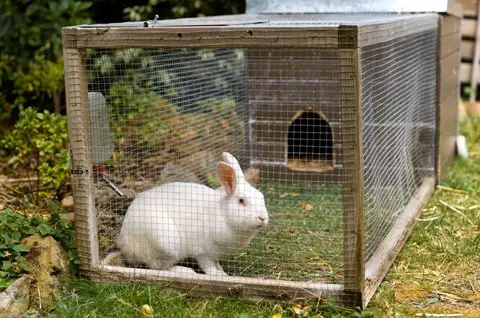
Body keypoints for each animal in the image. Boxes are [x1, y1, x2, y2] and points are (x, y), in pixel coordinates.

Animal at [115, 152, 268, 276]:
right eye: (241, 201)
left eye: (262, 197)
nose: (263, 218)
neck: (224, 215)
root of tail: (124, 243)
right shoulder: (203, 251)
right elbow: (208, 266)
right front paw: (219, 275)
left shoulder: (215, 253)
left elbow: (216, 263)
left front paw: (221, 271)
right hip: (166, 242)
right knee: (159, 267)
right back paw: (185, 271)